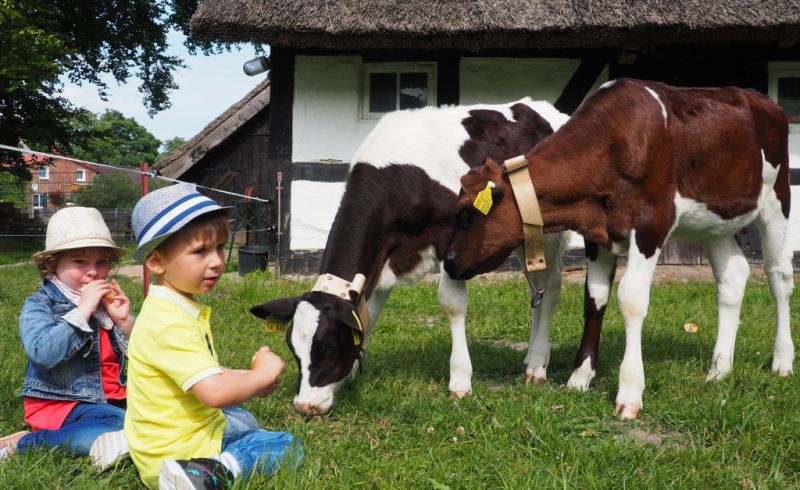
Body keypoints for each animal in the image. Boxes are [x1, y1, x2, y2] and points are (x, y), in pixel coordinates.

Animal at [253, 99, 572, 414]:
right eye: (293, 348)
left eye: (329, 346)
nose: (304, 406)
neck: (399, 177)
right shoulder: (382, 255)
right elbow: (368, 313)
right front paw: (351, 374)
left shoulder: (449, 238)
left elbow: (452, 305)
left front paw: (460, 381)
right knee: (535, 287)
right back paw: (531, 357)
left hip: (546, 229)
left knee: (552, 286)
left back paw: (537, 366)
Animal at [446, 78, 796, 420]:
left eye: (465, 214)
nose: (448, 261)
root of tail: (760, 99)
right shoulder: (597, 233)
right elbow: (594, 298)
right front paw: (579, 378)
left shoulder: (651, 224)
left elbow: (631, 299)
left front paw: (629, 392)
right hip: (714, 220)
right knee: (733, 277)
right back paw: (719, 370)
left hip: (777, 199)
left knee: (779, 278)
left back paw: (782, 361)